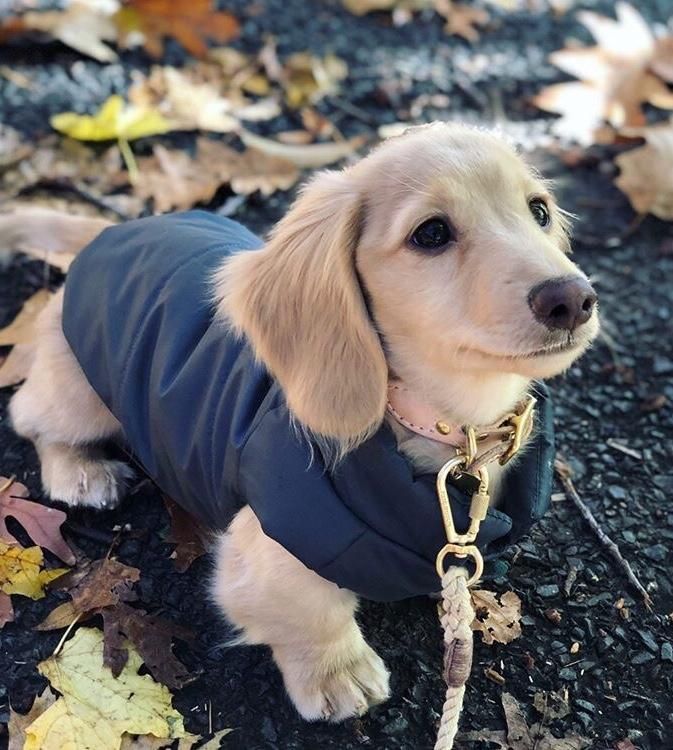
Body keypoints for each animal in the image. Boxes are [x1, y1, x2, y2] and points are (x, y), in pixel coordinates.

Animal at [5, 123, 596, 724]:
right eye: (431, 233)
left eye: (539, 211)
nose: (573, 299)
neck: (444, 424)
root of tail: (112, 229)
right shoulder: (274, 540)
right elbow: (311, 612)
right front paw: (338, 672)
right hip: (79, 395)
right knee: (32, 417)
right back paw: (80, 472)